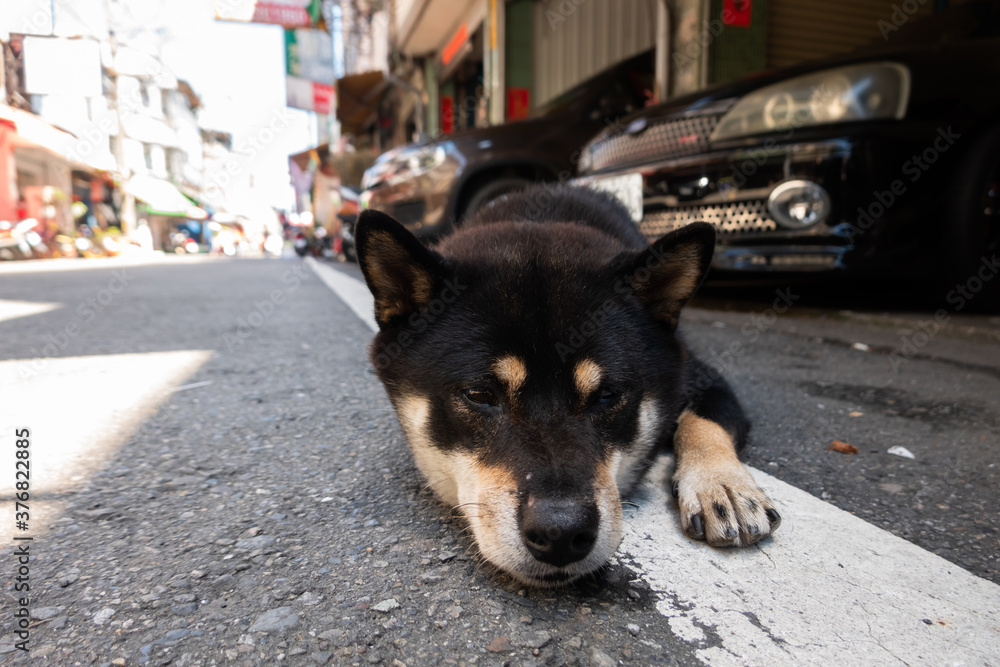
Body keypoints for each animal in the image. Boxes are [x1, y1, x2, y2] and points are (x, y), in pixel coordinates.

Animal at [356, 185, 784, 588]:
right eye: (479, 395)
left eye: (606, 395)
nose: (560, 534)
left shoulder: (700, 374)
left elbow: (706, 420)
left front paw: (723, 485)